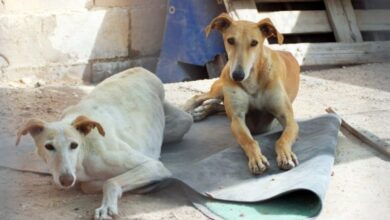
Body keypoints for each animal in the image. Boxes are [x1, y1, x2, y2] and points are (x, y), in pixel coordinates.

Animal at [15, 68, 192, 219]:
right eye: (49, 147)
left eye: (74, 145)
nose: (67, 180)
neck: (84, 153)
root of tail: (142, 69)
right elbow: (88, 185)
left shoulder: (153, 166)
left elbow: (110, 181)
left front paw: (106, 206)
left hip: (180, 123)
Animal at [184, 13, 300, 175]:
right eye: (230, 40)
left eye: (254, 43)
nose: (237, 75)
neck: (252, 79)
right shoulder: (237, 118)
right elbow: (249, 141)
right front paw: (257, 159)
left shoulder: (287, 118)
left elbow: (282, 139)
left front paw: (285, 155)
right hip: (220, 88)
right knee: (202, 97)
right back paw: (189, 110)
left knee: (219, 106)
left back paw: (201, 111)